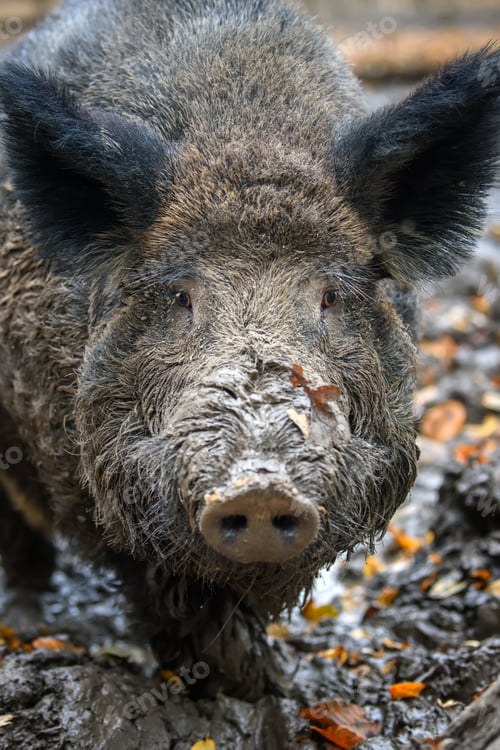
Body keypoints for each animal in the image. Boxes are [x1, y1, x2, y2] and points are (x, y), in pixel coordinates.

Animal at [0, 0, 498, 697]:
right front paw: (247, 684)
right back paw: (27, 622)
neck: (244, 133)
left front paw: (270, 683)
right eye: (180, 295)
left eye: (329, 294)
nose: (260, 490)